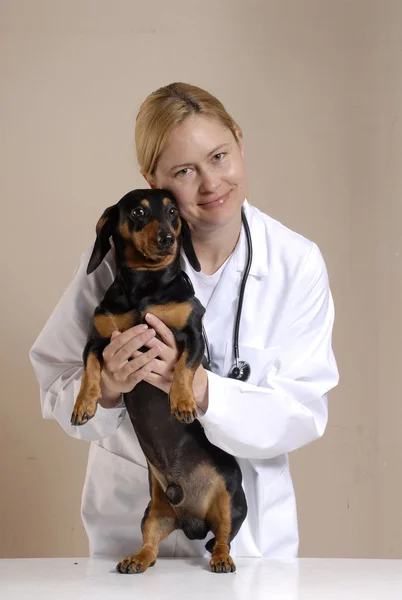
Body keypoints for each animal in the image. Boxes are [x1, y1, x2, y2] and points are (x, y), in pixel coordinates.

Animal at [72, 191, 248, 572]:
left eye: (173, 213)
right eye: (138, 211)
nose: (167, 239)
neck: (145, 288)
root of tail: (191, 519)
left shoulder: (191, 336)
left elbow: (184, 368)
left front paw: (182, 402)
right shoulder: (97, 342)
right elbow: (90, 370)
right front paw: (84, 405)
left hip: (230, 498)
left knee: (224, 537)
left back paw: (222, 559)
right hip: (153, 511)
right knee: (151, 544)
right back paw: (136, 559)